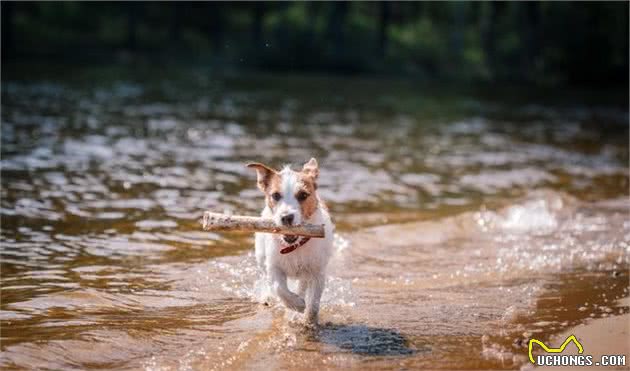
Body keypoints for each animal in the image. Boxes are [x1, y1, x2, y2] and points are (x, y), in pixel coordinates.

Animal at [247, 158, 336, 324]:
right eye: (275, 195)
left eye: (303, 195)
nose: (286, 217)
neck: (294, 246)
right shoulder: (274, 266)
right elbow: (279, 287)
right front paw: (296, 304)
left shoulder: (317, 273)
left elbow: (313, 304)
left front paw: (309, 321)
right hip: (261, 258)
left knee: (302, 284)